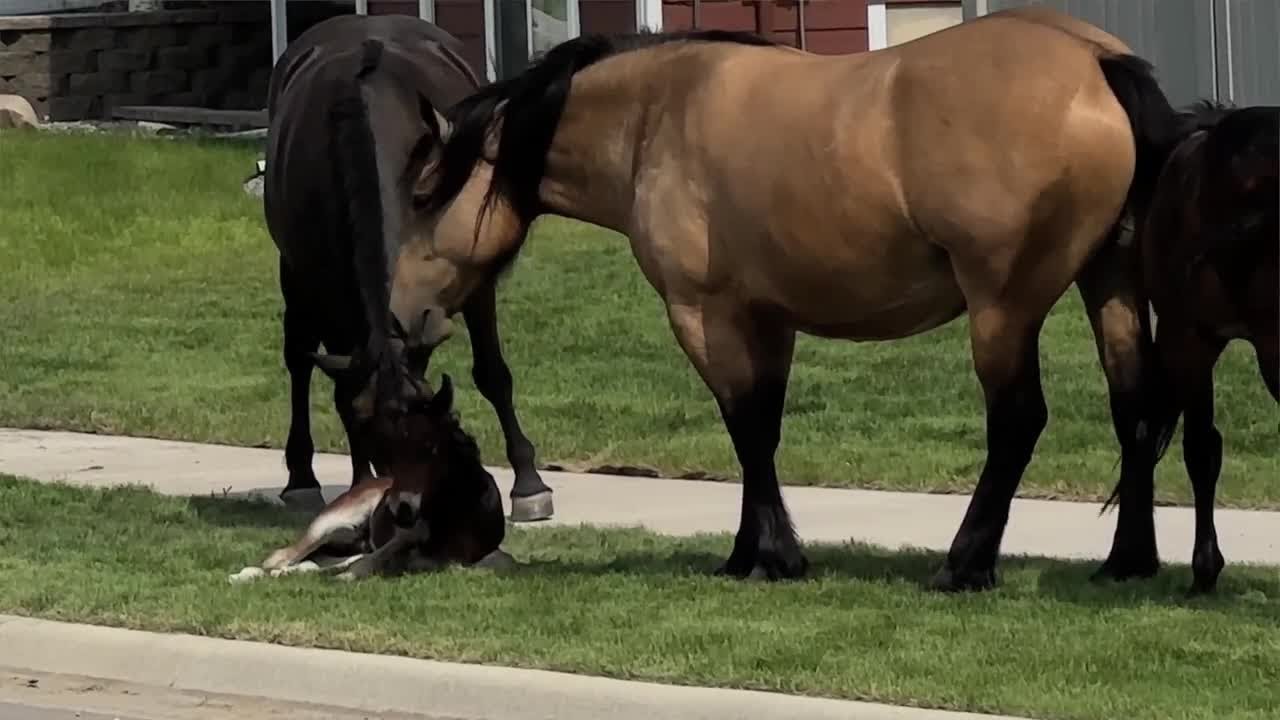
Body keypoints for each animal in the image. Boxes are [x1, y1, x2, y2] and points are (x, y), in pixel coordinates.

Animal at [263, 13, 555, 522]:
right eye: (376, 439)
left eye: (437, 433)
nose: (408, 502)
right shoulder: (335, 291)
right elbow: (342, 392)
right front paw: (359, 488)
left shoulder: (468, 283)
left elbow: (493, 373)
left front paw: (529, 483)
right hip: (296, 276)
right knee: (298, 357)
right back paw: (300, 477)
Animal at [394, 7, 1187, 591]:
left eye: (422, 194)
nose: (403, 319)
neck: (655, 115)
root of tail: (1094, 62)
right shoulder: (767, 320)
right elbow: (764, 431)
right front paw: (756, 549)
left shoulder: (704, 313)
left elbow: (745, 427)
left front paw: (769, 556)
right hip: (1108, 285)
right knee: (1133, 410)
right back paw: (1127, 561)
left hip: (1003, 309)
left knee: (1018, 422)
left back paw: (964, 564)